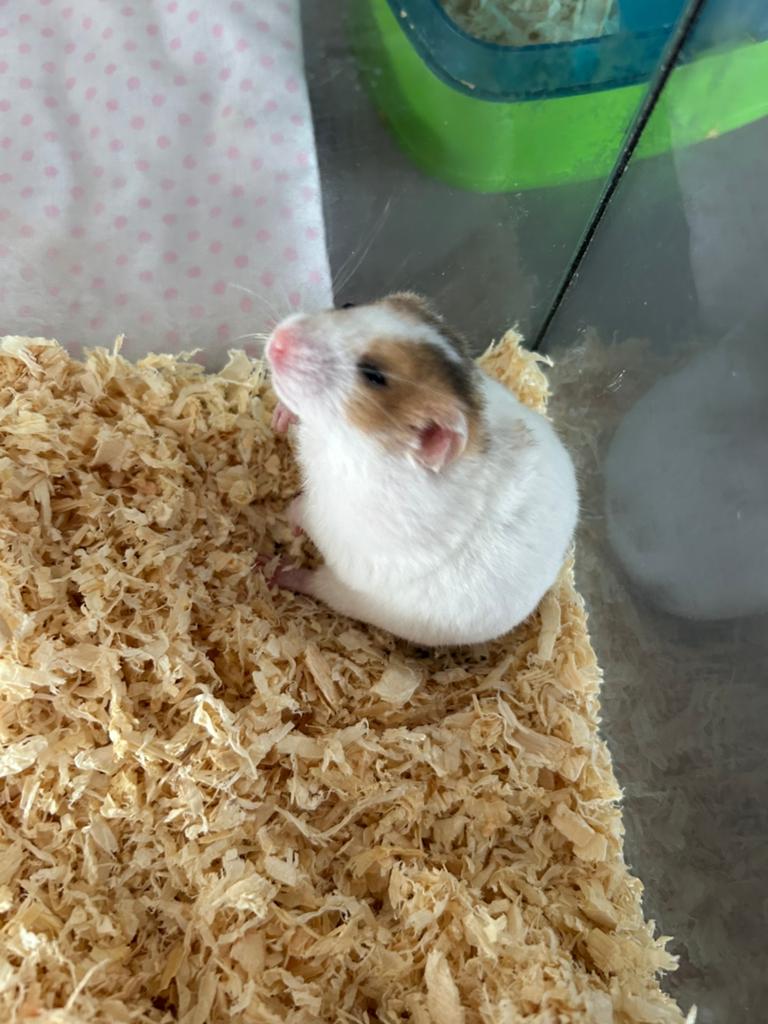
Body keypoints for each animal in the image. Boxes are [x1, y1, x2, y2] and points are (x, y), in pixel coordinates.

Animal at [264, 292, 577, 647]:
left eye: (373, 375)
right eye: (347, 305)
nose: (277, 341)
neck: (344, 442)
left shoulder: (335, 521)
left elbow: (303, 509)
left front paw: (288, 522)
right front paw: (280, 418)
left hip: (349, 594)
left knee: (316, 584)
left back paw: (275, 571)